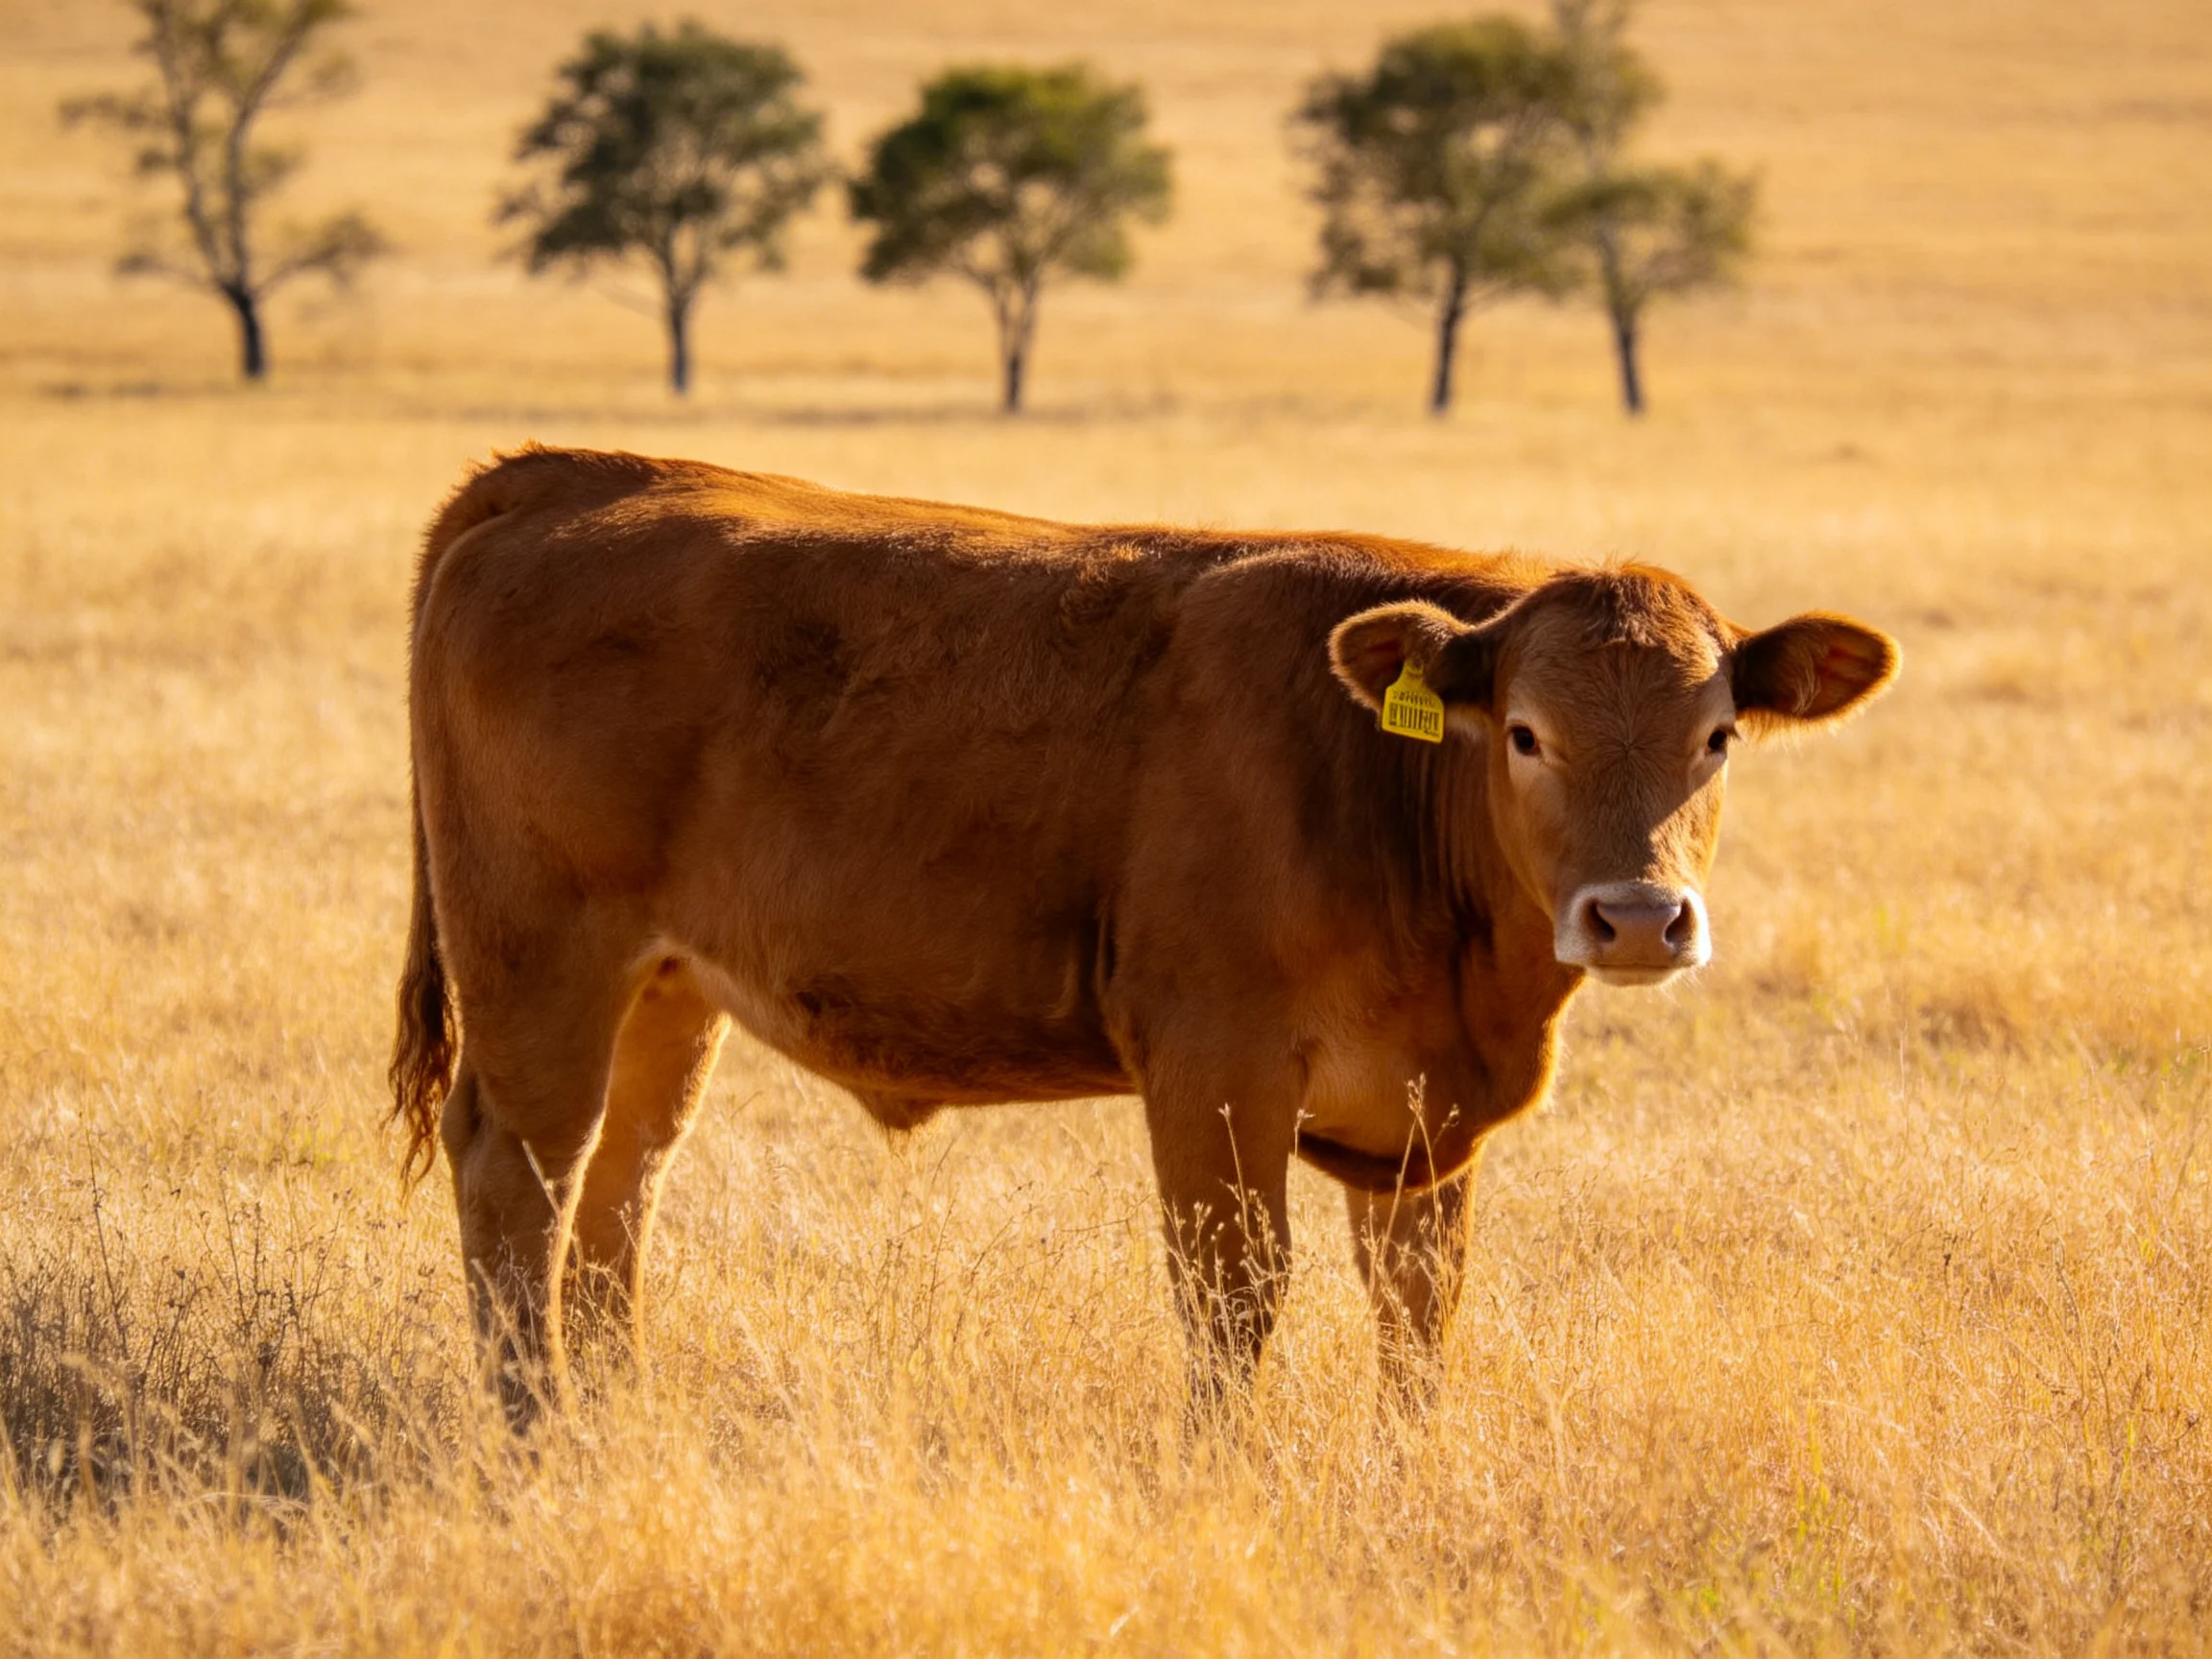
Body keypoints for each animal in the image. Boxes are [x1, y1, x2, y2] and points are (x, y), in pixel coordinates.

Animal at [388, 444, 1897, 1424]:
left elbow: (1419, 1313)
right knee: (518, 1171)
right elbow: (1236, 1296)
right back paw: (532, 1431)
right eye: (1526, 734)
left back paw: (607, 1411)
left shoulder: (1422, 1123)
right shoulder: (1213, 1067)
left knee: (621, 1180)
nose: (1637, 917)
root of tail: (568, 473)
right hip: (541, 966)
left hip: (666, 989)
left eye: (1718, 738)